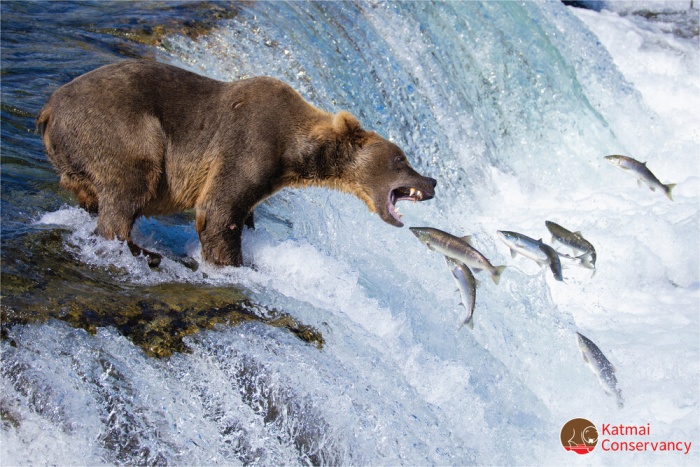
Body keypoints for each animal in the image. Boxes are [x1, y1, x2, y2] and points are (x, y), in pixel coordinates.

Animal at [37, 60, 437, 267]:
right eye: (401, 158)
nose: (432, 181)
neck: (296, 150)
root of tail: (48, 107)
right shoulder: (251, 142)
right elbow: (218, 211)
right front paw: (233, 263)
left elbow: (241, 211)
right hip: (119, 126)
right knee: (132, 182)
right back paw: (142, 250)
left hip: (74, 158)